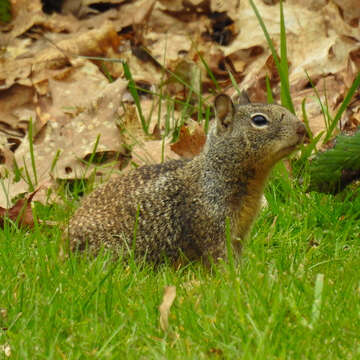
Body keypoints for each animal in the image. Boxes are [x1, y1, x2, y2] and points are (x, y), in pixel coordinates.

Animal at [67, 93, 306, 264]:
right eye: (259, 120)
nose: (302, 128)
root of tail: (64, 243)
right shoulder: (212, 224)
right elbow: (221, 258)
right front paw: (234, 280)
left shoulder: (240, 232)